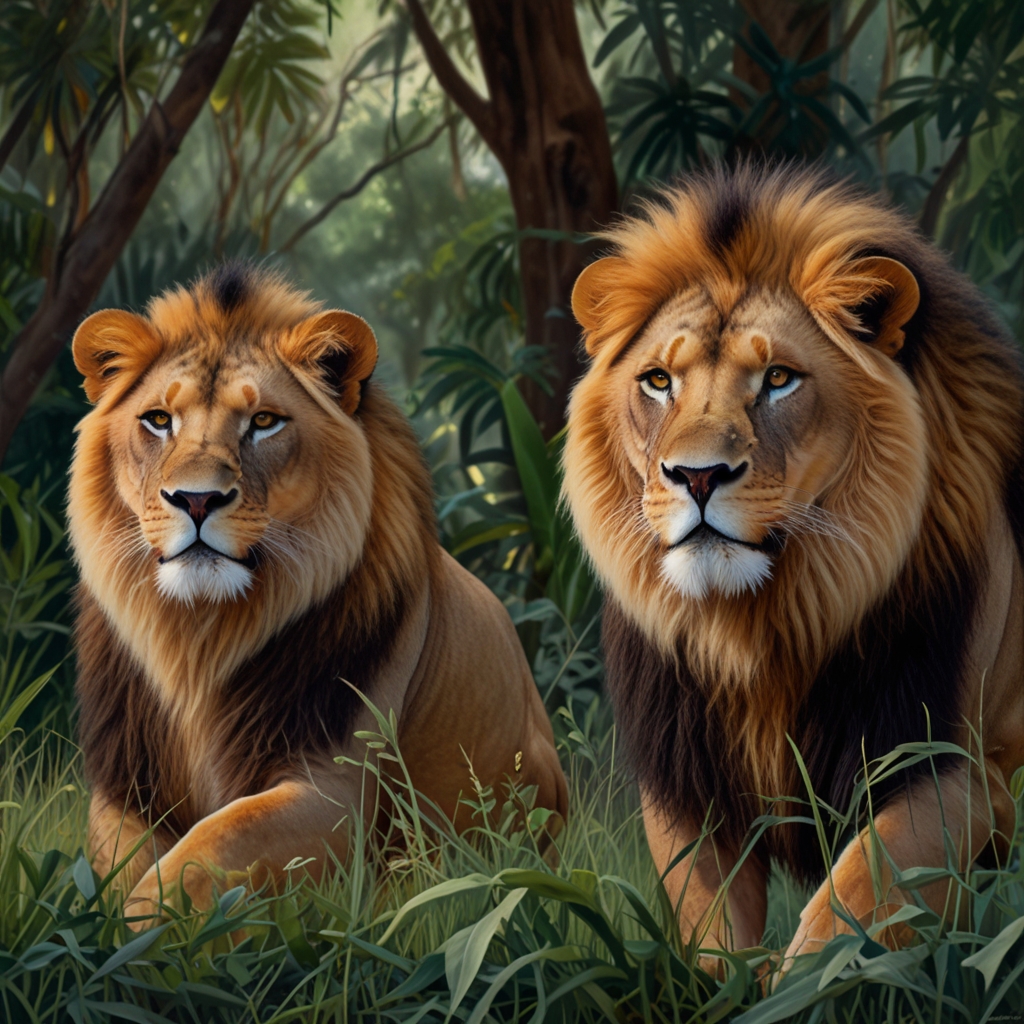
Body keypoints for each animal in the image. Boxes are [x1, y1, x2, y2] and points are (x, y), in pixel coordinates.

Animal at [68, 263, 566, 922]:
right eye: (157, 420)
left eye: (263, 422)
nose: (196, 500)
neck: (200, 638)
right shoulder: (123, 786)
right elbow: (117, 862)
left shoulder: (334, 794)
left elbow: (207, 848)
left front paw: (136, 931)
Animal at [562, 164, 1024, 966]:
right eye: (658, 382)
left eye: (778, 378)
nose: (698, 475)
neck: (760, 633)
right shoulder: (684, 791)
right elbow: (714, 935)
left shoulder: (956, 769)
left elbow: (850, 905)